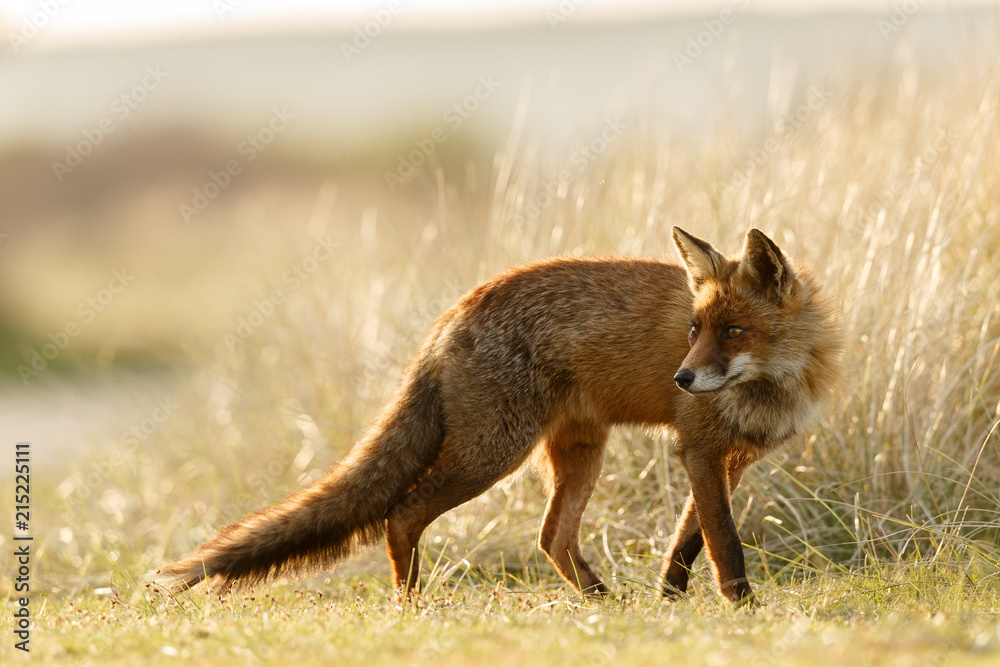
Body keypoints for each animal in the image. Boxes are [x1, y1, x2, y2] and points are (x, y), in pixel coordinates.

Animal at [158, 228, 844, 604]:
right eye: (694, 331)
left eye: (733, 331)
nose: (682, 379)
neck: (773, 385)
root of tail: (453, 312)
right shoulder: (699, 450)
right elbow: (724, 542)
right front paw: (742, 610)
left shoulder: (732, 458)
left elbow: (686, 544)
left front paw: (669, 604)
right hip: (493, 453)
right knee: (403, 512)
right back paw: (411, 604)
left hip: (576, 454)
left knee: (552, 537)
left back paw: (605, 605)